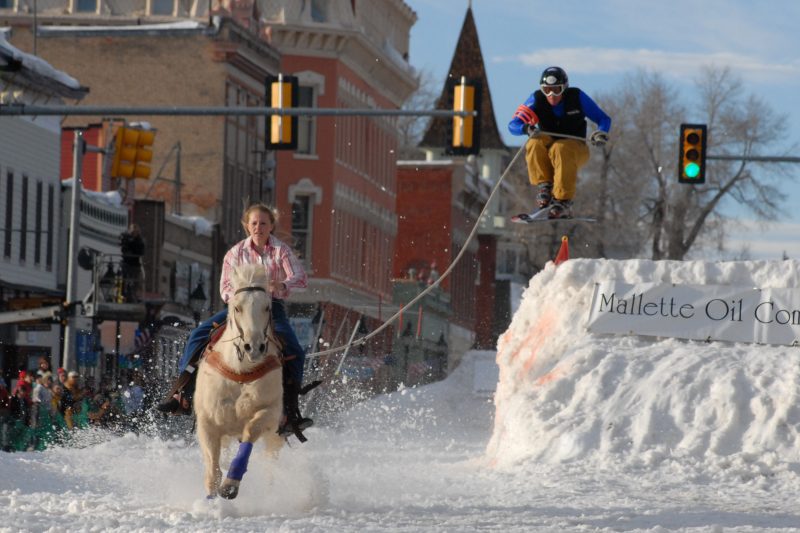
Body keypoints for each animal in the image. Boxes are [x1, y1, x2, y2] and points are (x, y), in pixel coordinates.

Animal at [193, 262, 286, 498]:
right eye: (237, 307)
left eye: (267, 307)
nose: (254, 347)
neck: (241, 373)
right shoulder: (207, 423)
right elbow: (213, 472)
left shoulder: (270, 412)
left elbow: (250, 431)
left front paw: (231, 484)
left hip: (276, 437)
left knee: (271, 464)